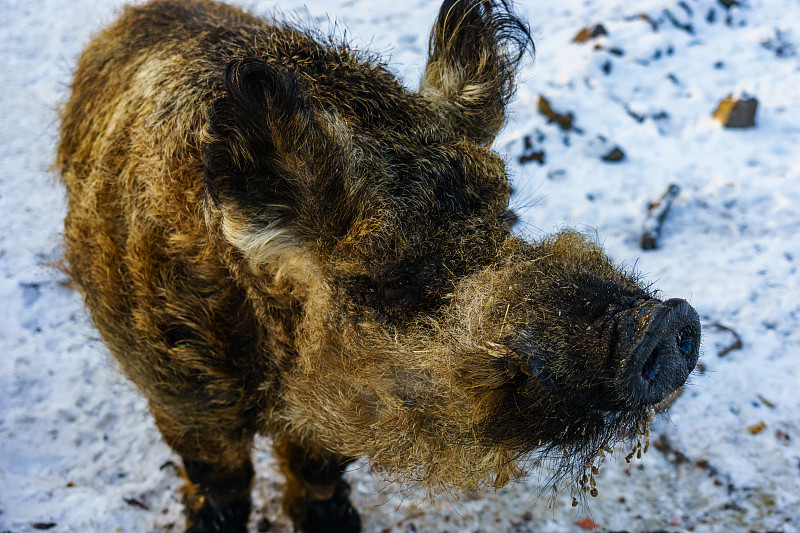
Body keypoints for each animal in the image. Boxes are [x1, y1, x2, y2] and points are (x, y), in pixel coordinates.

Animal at [54, 0, 700, 528]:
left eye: (506, 218)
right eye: (389, 281)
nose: (665, 320)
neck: (275, 376)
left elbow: (317, 471)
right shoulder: (180, 395)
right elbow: (222, 483)